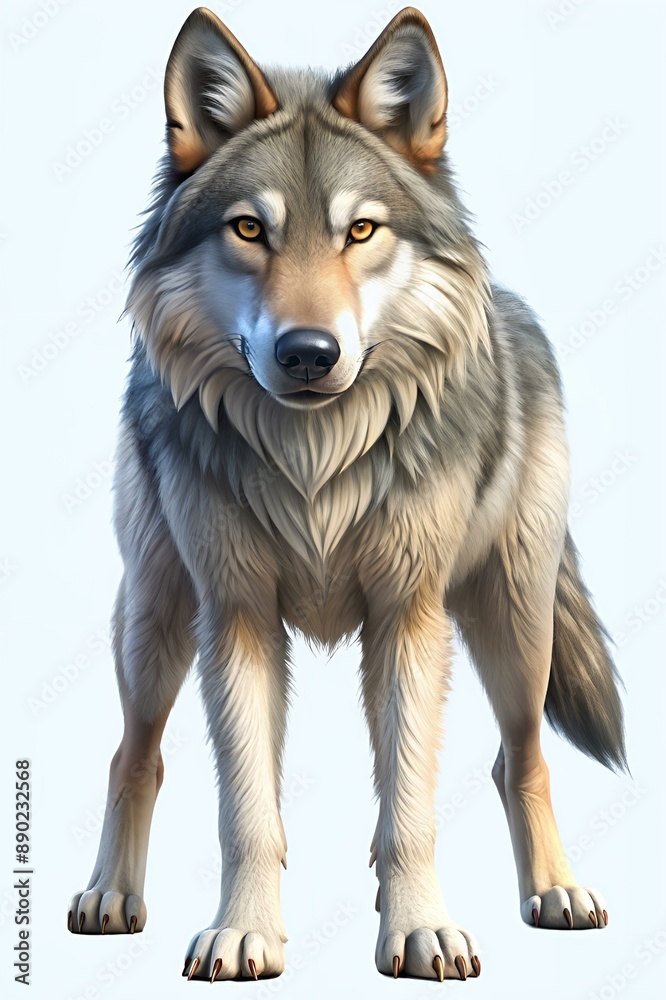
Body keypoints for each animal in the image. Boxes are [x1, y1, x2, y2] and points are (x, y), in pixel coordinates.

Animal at [67, 6, 626, 982]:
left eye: (360, 232)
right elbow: (247, 809)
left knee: (518, 760)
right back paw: (110, 897)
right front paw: (243, 934)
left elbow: (408, 806)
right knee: (133, 754)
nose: (307, 353)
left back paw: (557, 892)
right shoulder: (236, 615)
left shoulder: (408, 616)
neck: (316, 462)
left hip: (516, 628)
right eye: (249, 230)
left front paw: (421, 931)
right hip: (152, 621)